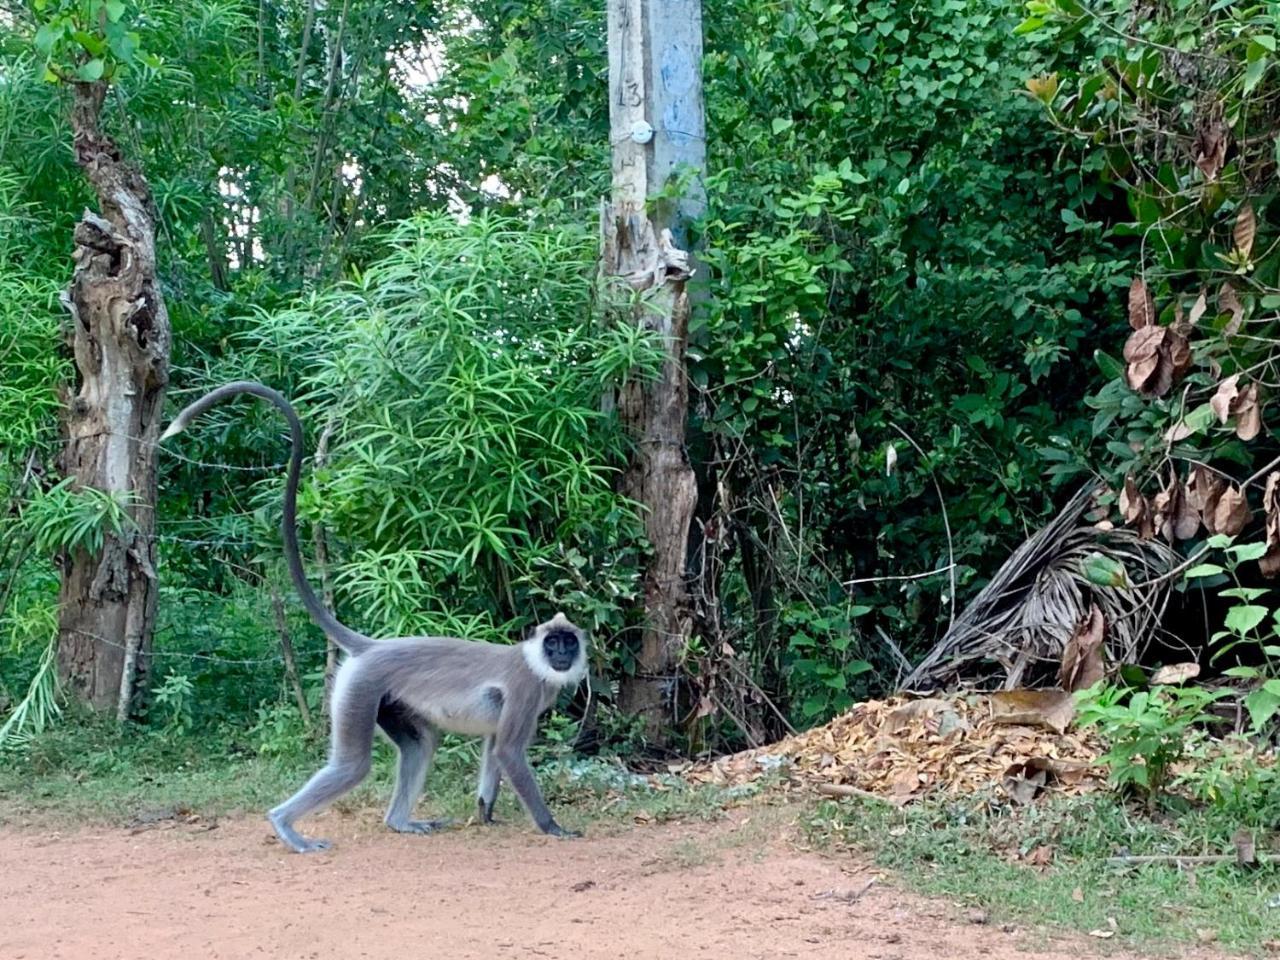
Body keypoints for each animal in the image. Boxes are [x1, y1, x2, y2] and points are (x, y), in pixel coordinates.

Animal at [158, 378, 588, 855]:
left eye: (568, 642)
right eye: (553, 643)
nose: (562, 655)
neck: (534, 662)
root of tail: (374, 646)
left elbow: (493, 750)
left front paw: (485, 813)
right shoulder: (526, 688)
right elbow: (510, 753)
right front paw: (553, 827)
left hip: (388, 699)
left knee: (421, 745)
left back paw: (399, 822)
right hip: (359, 689)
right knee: (353, 765)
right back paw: (285, 825)